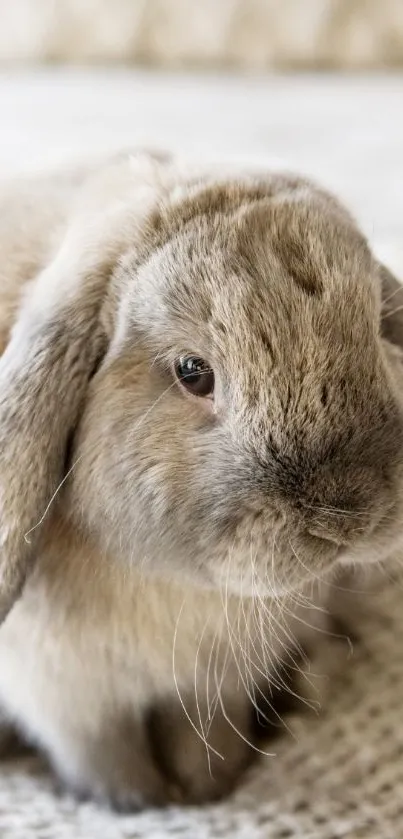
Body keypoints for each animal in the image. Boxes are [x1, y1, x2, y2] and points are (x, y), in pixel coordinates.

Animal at [0, 149, 403, 808]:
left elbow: (207, 734)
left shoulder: (219, 685)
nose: (347, 516)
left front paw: (206, 786)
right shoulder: (69, 700)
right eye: (193, 372)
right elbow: (105, 754)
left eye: (376, 328)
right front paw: (139, 802)